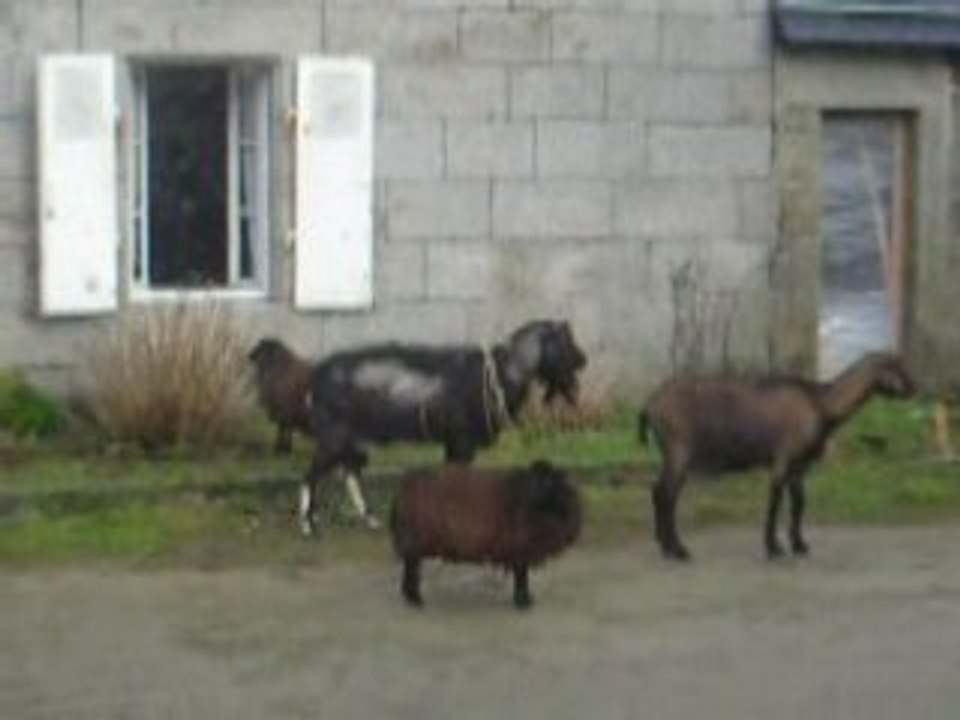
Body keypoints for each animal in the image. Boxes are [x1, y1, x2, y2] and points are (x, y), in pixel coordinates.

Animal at [298, 320, 587, 535]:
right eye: (565, 341)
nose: (583, 359)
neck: (502, 372)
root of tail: (315, 379)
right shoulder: (463, 439)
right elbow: (458, 476)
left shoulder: (453, 441)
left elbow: (449, 475)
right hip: (334, 436)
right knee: (312, 475)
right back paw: (308, 525)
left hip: (353, 438)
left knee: (350, 473)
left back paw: (369, 519)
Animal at [390, 460, 582, 609]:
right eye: (539, 481)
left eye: (550, 482)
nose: (534, 494)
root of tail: (403, 486)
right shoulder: (520, 548)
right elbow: (521, 575)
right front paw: (523, 601)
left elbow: (521, 574)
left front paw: (523, 599)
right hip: (414, 537)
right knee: (411, 566)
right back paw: (415, 598)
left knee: (410, 566)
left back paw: (410, 596)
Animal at [639, 352, 915, 561]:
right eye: (896, 367)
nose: (914, 388)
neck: (821, 403)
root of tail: (649, 405)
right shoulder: (783, 458)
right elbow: (775, 501)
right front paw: (774, 549)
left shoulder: (799, 467)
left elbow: (799, 503)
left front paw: (799, 544)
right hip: (679, 451)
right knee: (667, 494)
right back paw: (677, 550)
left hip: (670, 454)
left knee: (657, 490)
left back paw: (664, 544)